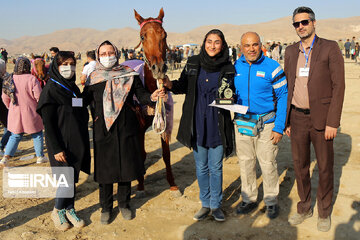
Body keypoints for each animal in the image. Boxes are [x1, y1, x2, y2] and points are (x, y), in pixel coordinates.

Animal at [125, 8, 181, 197]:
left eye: (164, 34)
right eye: (142, 36)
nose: (159, 68)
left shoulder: (164, 121)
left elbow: (166, 154)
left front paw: (173, 184)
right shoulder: (139, 127)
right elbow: (141, 154)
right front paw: (141, 185)